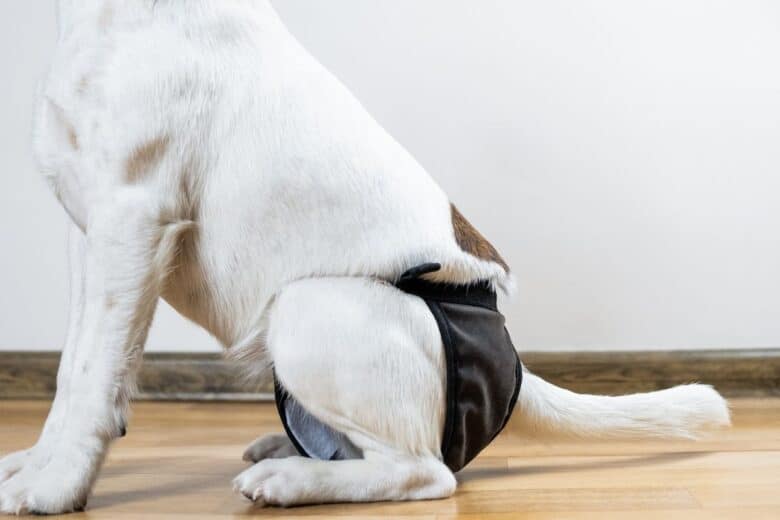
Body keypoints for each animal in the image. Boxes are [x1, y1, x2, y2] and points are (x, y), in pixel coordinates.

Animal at [0, 0, 732, 512]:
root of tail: (514, 366)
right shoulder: (90, 231)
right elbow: (75, 367)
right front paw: (39, 460)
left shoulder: (131, 215)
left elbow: (89, 378)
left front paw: (55, 486)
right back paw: (297, 452)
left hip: (308, 307)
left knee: (425, 470)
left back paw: (291, 478)